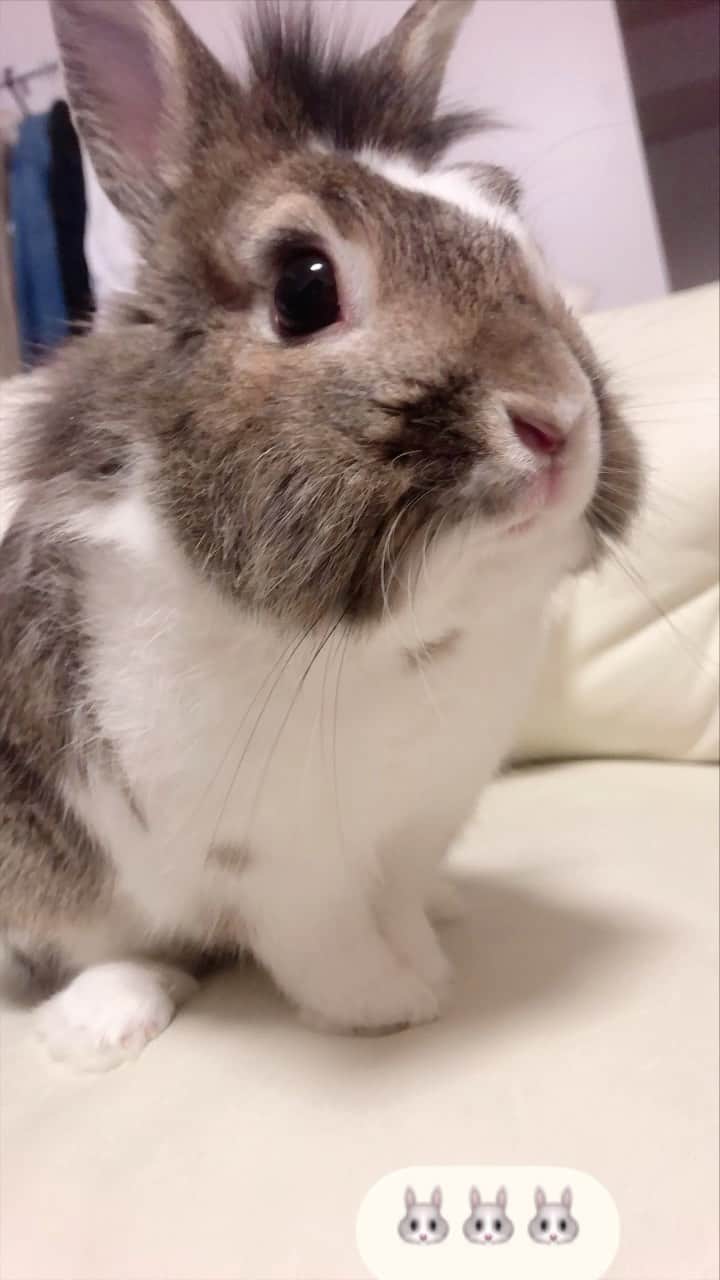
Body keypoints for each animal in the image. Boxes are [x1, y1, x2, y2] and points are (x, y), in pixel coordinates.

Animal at [0, 0, 642, 1068]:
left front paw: (427, 956)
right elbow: (327, 944)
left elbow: (400, 900)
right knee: (72, 946)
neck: (403, 640)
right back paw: (110, 1022)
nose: (558, 418)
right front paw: (392, 1005)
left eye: (514, 227)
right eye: (302, 286)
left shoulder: (420, 818)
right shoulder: (280, 867)